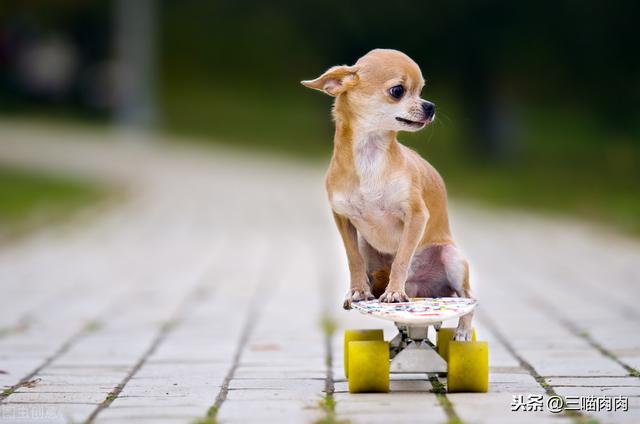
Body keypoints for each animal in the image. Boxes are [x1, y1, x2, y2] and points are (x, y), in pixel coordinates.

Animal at [302, 48, 472, 342]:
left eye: (421, 91)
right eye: (398, 91)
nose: (430, 106)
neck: (370, 155)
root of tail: (427, 292)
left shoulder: (416, 216)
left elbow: (402, 258)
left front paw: (394, 292)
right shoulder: (343, 220)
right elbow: (353, 259)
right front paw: (358, 290)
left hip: (452, 259)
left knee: (469, 300)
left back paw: (461, 331)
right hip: (368, 247)